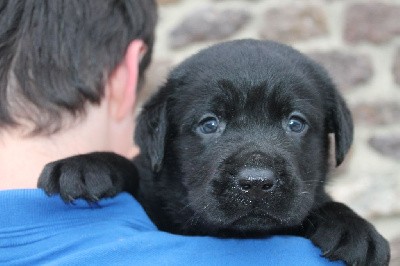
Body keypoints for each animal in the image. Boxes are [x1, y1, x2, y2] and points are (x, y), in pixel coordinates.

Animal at [39, 40, 390, 266]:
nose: (256, 183)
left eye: (295, 123)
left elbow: (321, 203)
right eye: (209, 124)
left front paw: (352, 227)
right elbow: (132, 167)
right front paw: (85, 166)